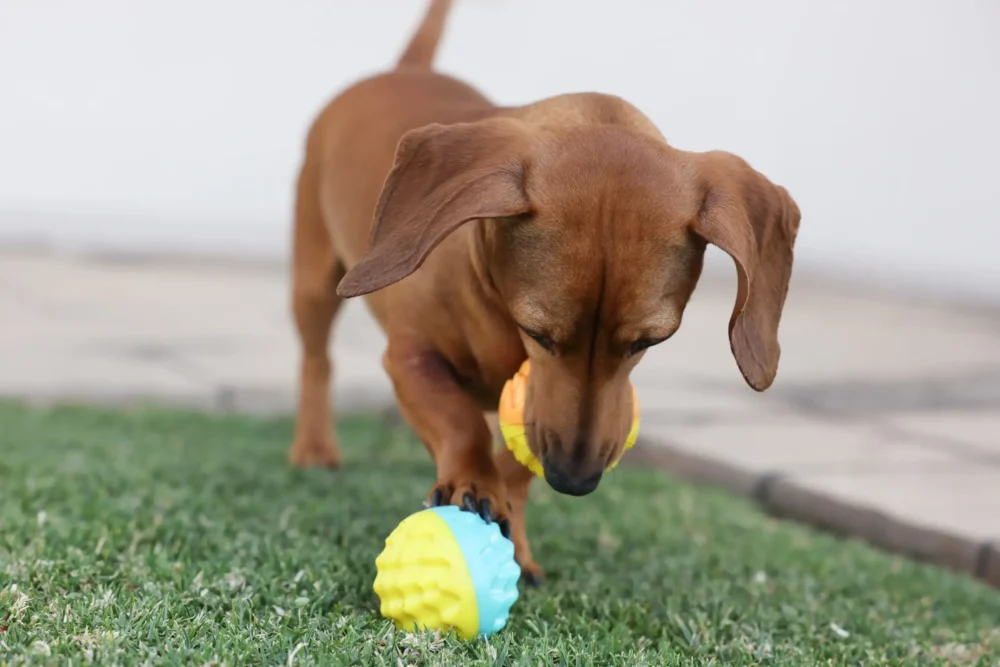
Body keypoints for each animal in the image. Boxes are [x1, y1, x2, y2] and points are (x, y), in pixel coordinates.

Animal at [288, 0, 796, 584]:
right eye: (538, 332)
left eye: (648, 342)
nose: (574, 480)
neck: (491, 301)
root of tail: (405, 71)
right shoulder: (411, 359)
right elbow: (460, 421)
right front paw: (472, 481)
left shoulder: (531, 418)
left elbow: (516, 464)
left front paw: (516, 537)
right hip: (313, 284)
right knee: (317, 361)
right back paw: (314, 447)